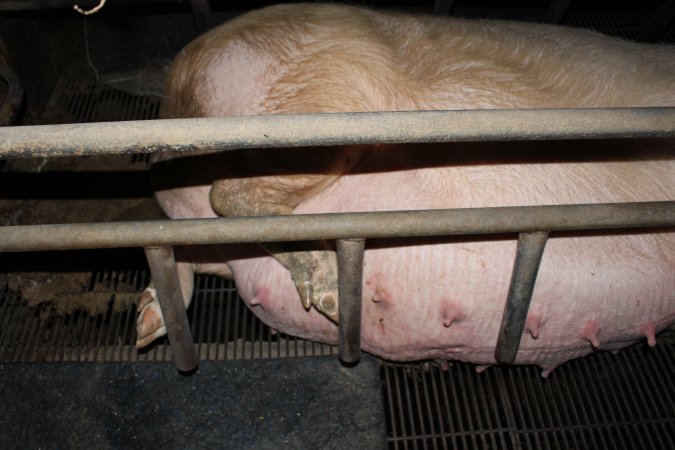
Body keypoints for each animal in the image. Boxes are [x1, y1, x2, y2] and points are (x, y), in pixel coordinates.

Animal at [135, 2, 672, 376]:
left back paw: (146, 324)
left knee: (187, 246)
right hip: (329, 97)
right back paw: (331, 290)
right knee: (228, 195)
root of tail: (178, 90)